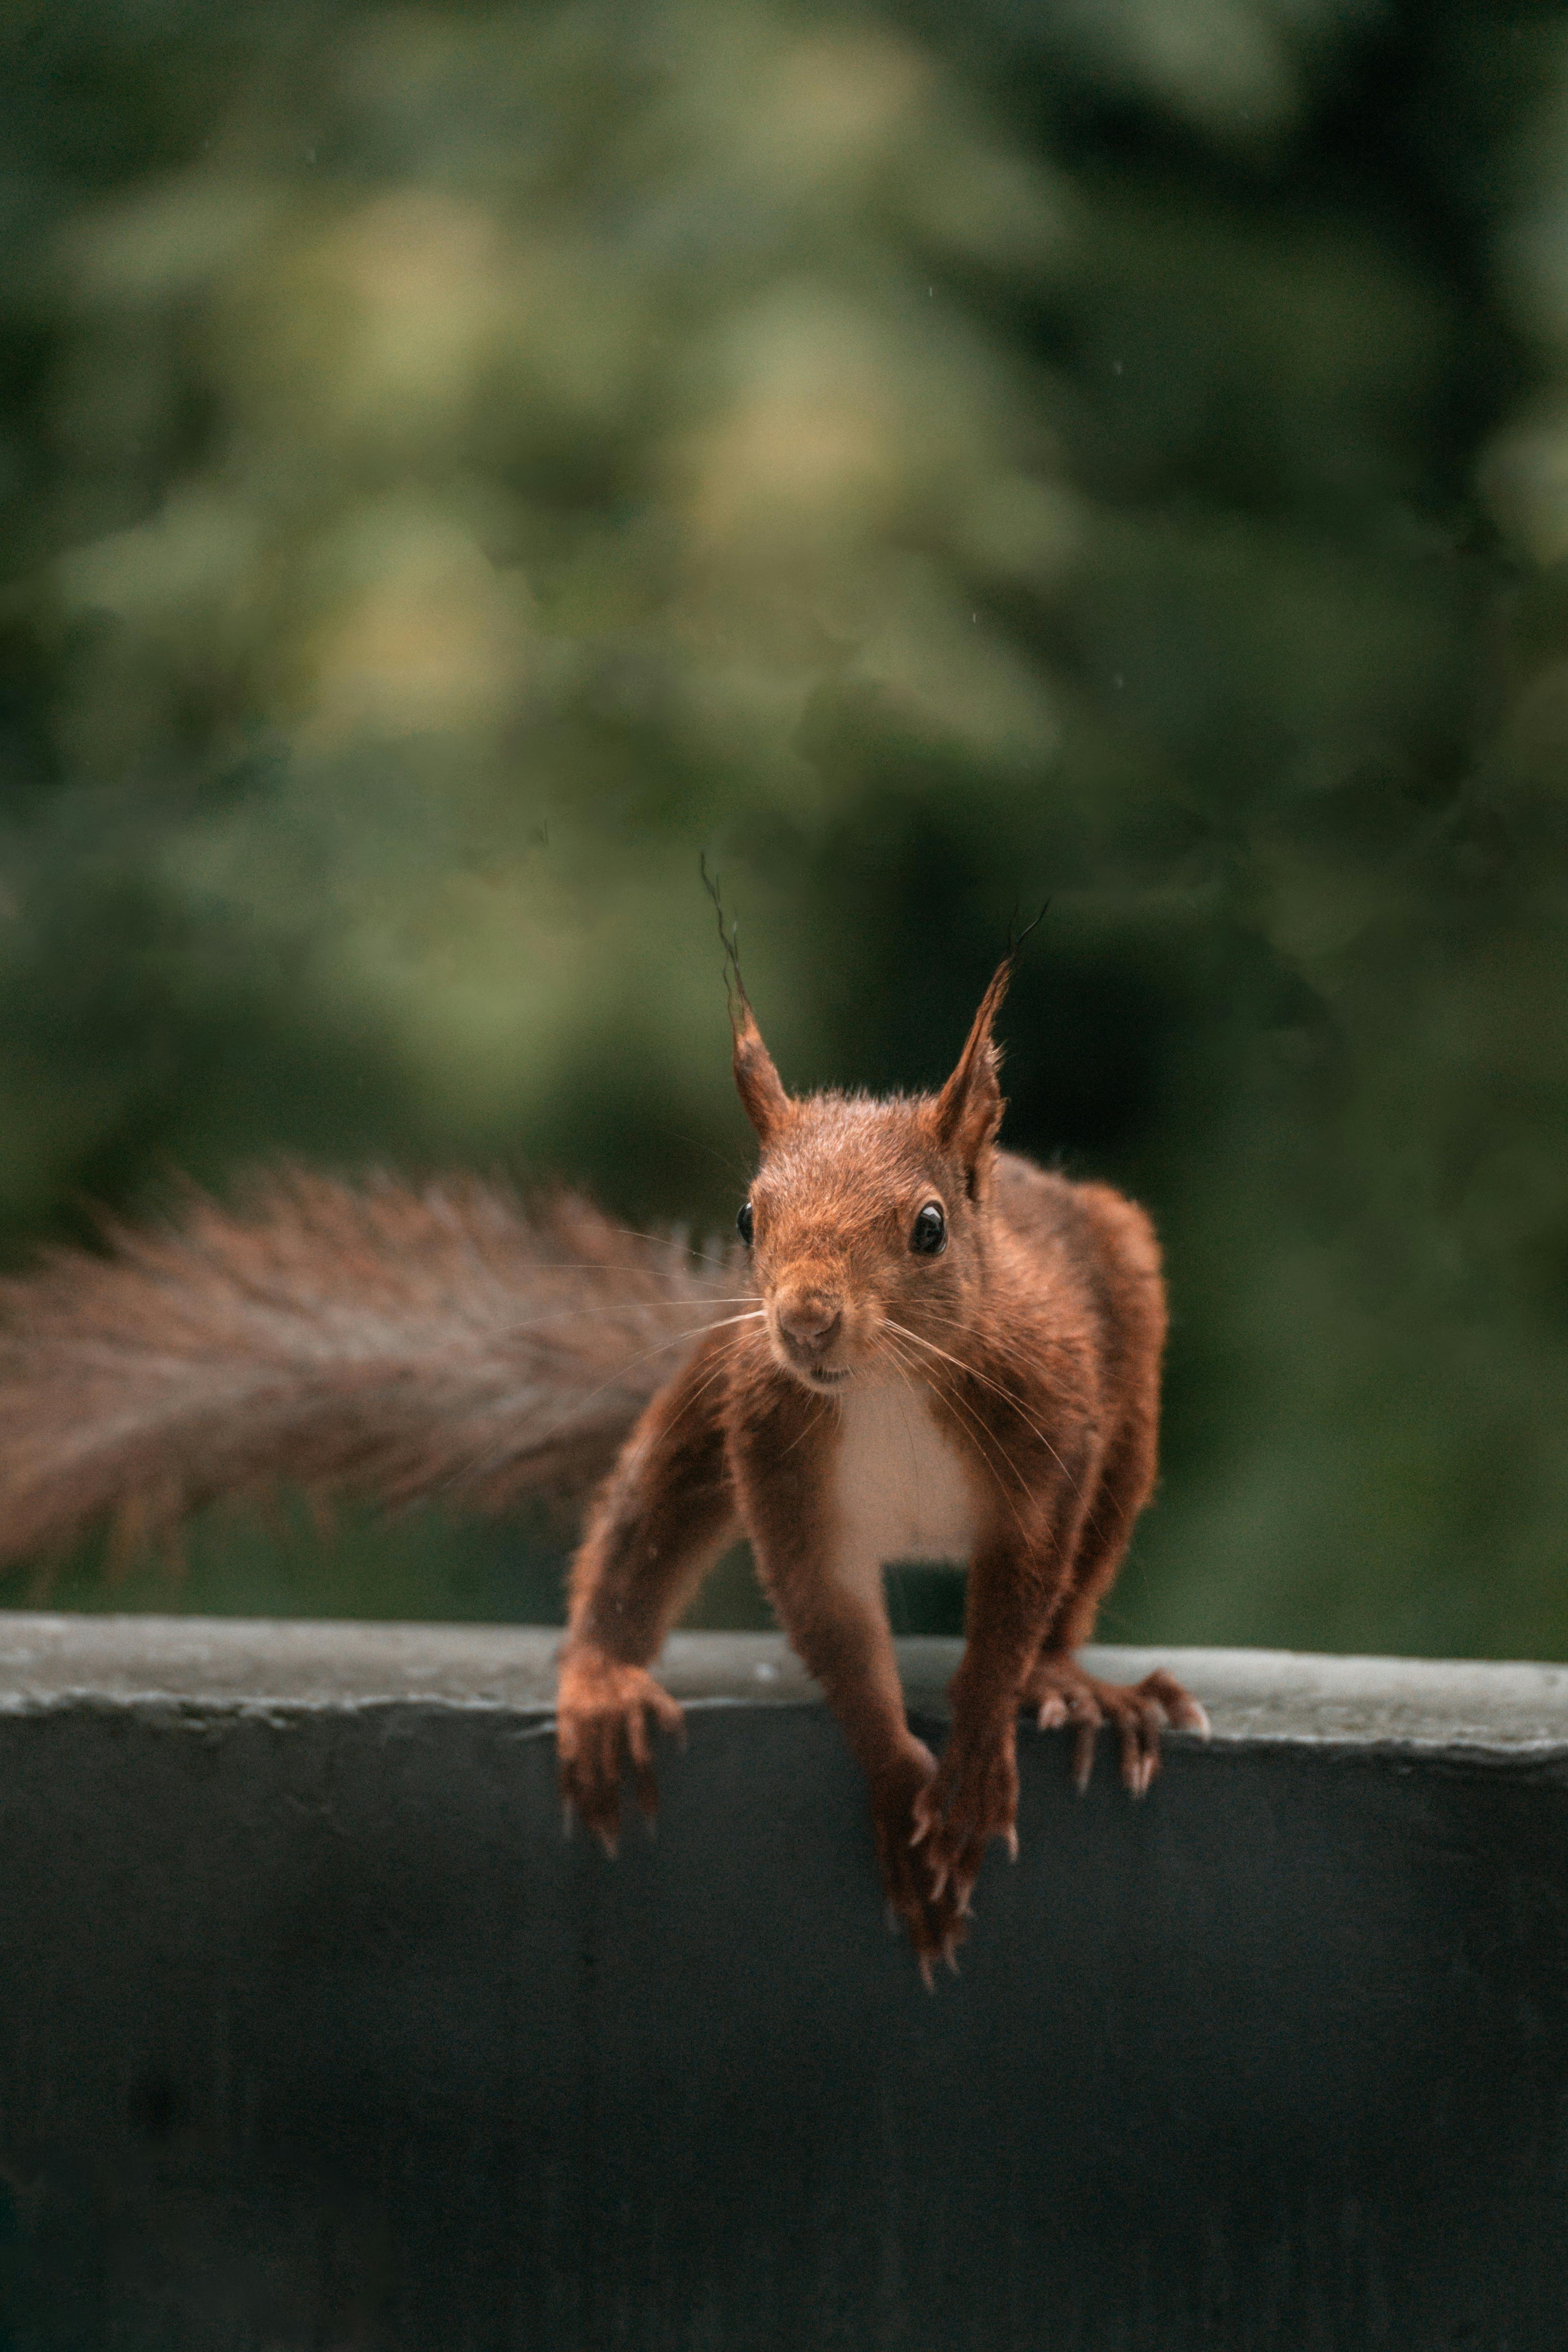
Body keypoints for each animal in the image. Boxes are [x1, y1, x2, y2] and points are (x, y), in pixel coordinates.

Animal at [0, 946, 1213, 1976]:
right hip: (704, 1396)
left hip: (1123, 1410)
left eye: (927, 1228)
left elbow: (1007, 1611)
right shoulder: (773, 1448)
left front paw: (968, 1771)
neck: (879, 1386)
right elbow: (830, 1622)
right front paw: (897, 1788)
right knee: (641, 1521)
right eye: (747, 1219)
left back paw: (1075, 1688)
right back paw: (602, 1683)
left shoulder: (1043, 1435)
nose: (804, 1319)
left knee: (1068, 1589)